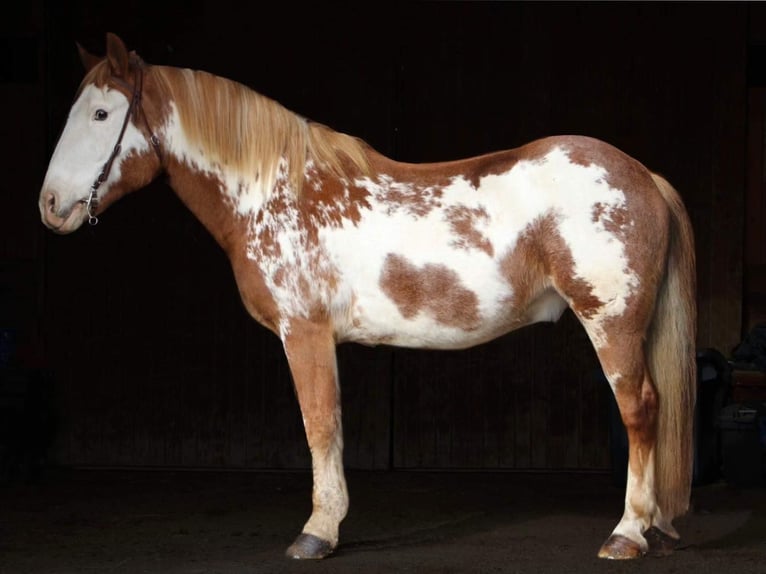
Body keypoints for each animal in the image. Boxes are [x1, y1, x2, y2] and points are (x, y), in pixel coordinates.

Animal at [39, 32, 700, 564]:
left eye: (101, 113)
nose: (50, 205)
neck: (273, 192)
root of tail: (643, 175)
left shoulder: (304, 333)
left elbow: (320, 425)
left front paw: (317, 533)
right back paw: (656, 528)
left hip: (612, 324)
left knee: (640, 409)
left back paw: (627, 534)